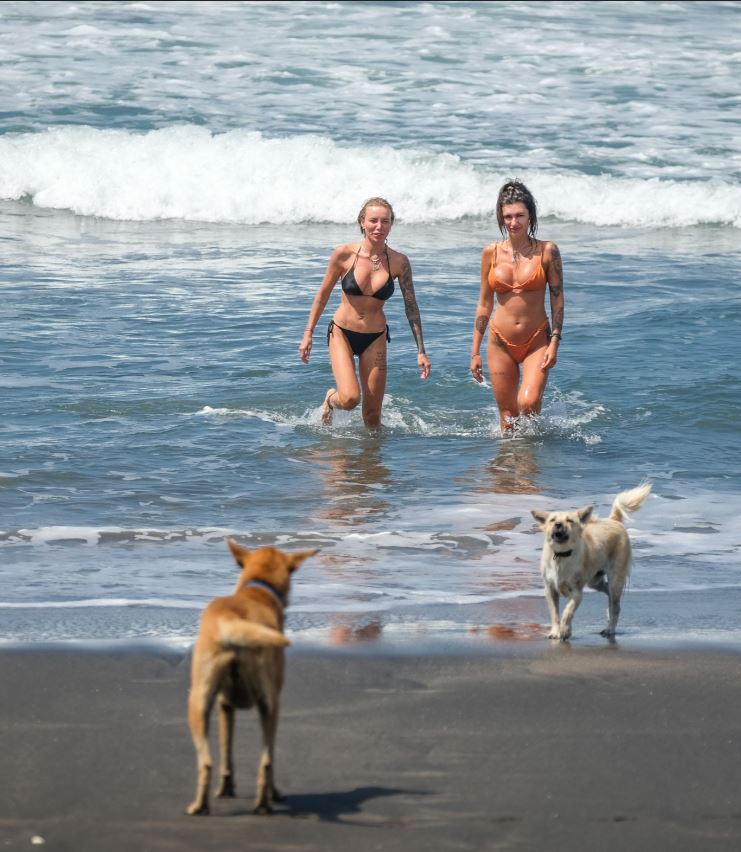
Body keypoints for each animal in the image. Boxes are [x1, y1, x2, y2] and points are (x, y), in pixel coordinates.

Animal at [186, 544, 316, 816]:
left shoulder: (224, 704)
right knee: (267, 760)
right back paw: (265, 803)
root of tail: (231, 621)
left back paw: (200, 805)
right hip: (271, 705)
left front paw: (226, 789)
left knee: (207, 761)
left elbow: (226, 753)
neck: (257, 590)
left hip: (199, 701)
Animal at [532, 482, 648, 644]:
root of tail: (614, 520)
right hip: (595, 581)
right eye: (552, 520)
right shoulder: (550, 589)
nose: (558, 524)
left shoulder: (577, 592)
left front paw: (565, 630)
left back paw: (610, 629)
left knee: (615, 604)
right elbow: (555, 613)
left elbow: (567, 612)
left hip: (615, 578)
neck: (562, 555)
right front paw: (556, 632)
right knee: (608, 593)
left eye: (570, 520)